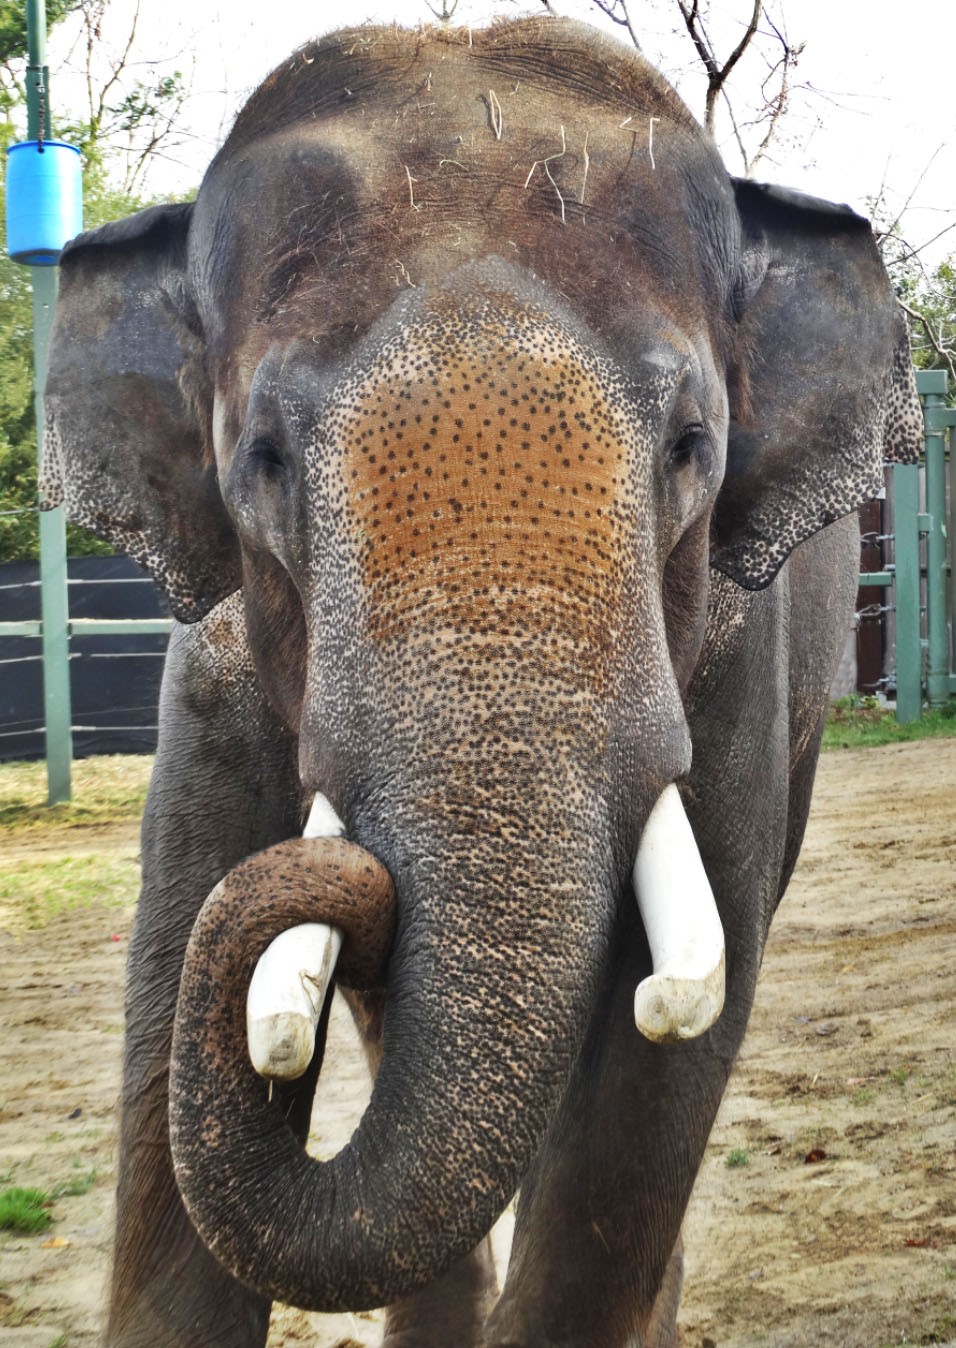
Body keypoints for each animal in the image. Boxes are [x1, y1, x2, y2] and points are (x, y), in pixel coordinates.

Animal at [41, 17, 921, 1348]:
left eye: (689, 450)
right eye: (262, 460)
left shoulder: (734, 661)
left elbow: (655, 1066)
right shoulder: (210, 673)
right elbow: (179, 952)